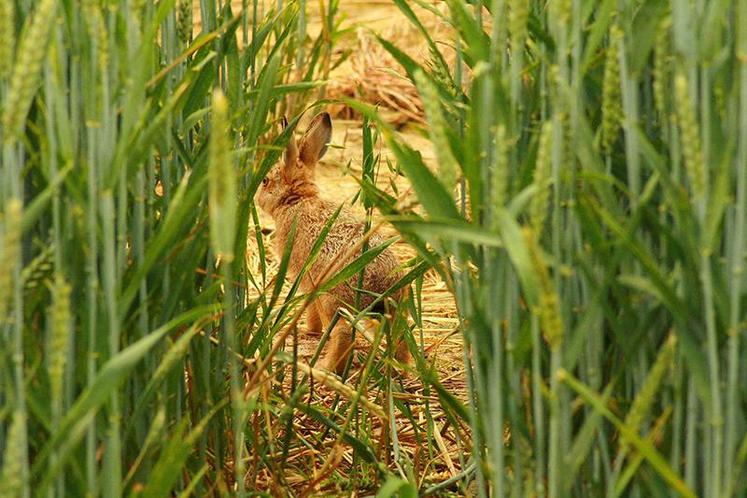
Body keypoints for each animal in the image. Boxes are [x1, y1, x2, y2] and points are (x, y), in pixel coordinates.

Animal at [256, 110, 410, 374]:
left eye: (265, 180)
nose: (256, 197)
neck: (298, 200)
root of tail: (382, 283)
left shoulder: (304, 280)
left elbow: (311, 310)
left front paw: (309, 331)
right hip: (391, 309)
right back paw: (401, 367)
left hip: (333, 299)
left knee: (343, 332)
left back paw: (325, 369)